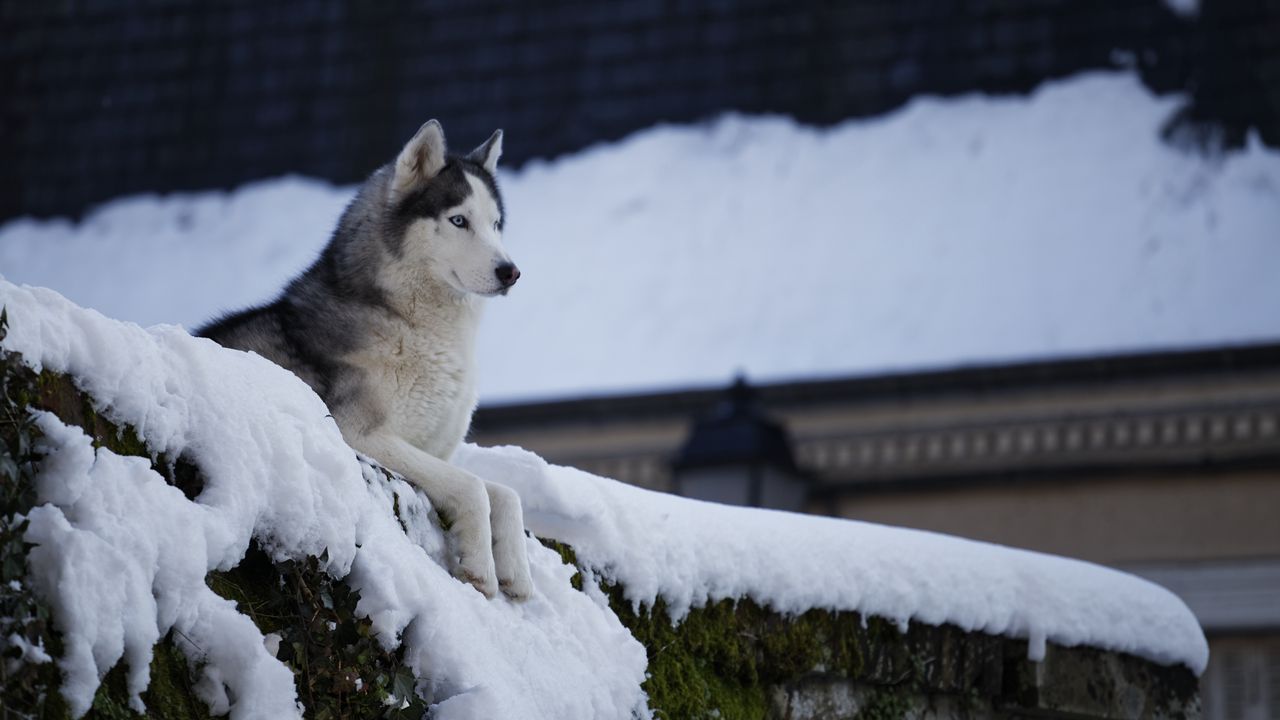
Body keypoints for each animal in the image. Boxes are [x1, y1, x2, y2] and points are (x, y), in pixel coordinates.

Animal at [198, 120, 535, 597]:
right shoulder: (358, 434)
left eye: (496, 224)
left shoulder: (432, 450)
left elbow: (506, 494)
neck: (414, 325)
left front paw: (515, 572)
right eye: (458, 220)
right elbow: (473, 488)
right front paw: (480, 569)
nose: (511, 272)